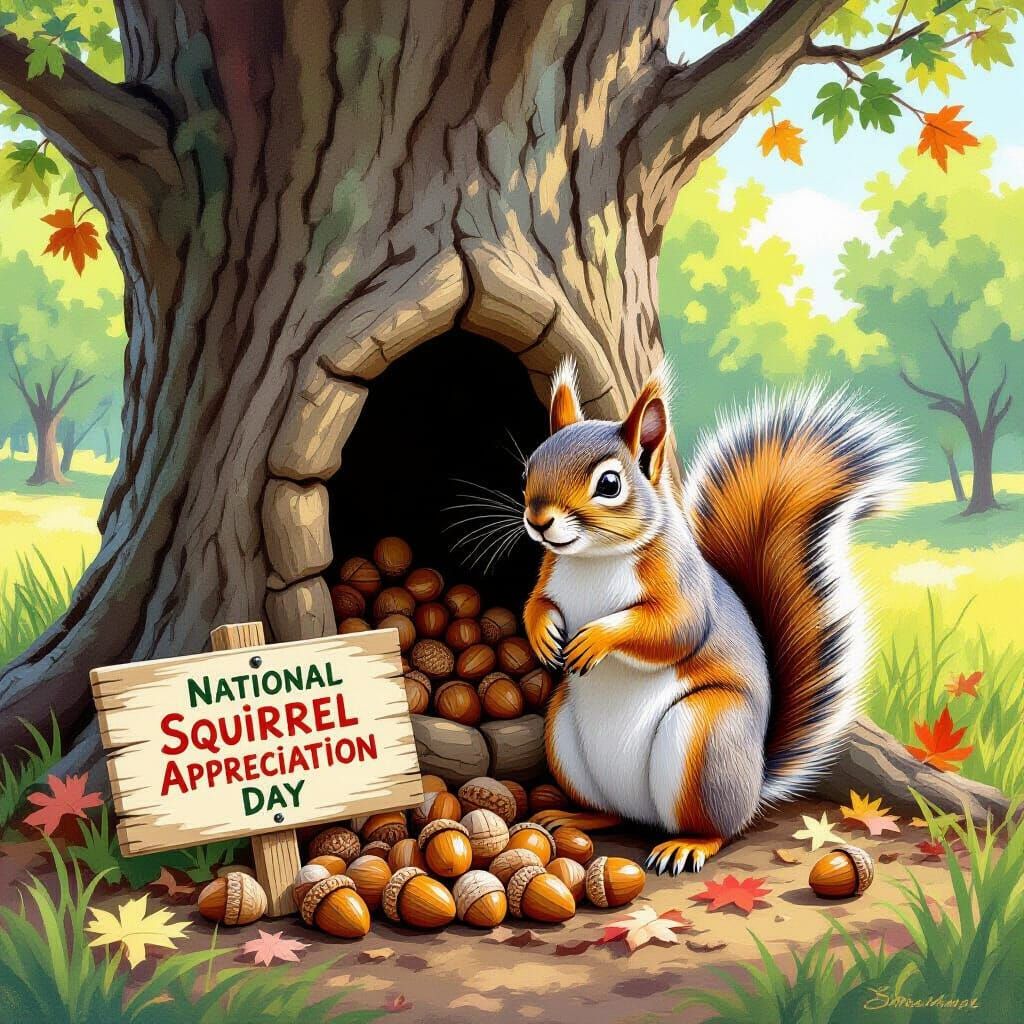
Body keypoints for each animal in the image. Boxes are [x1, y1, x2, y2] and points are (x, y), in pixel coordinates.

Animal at [521, 359, 910, 874]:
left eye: (609, 484)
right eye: (529, 467)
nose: (538, 521)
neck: (592, 559)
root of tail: (755, 783)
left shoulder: (681, 585)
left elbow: (672, 629)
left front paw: (597, 638)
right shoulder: (549, 575)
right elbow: (535, 604)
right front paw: (543, 634)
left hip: (706, 738)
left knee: (719, 829)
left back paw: (688, 844)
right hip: (564, 736)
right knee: (612, 812)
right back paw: (576, 817)